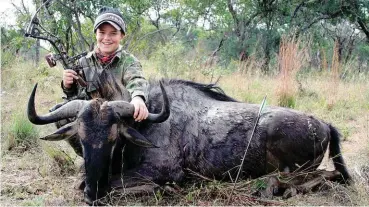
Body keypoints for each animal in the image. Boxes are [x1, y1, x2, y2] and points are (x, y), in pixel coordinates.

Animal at [27, 78, 350, 205]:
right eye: (80, 138)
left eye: (114, 138)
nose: (91, 194)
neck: (145, 123)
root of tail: (324, 124)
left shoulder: (166, 172)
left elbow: (119, 186)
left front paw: (162, 190)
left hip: (297, 166)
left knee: (325, 177)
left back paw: (272, 187)